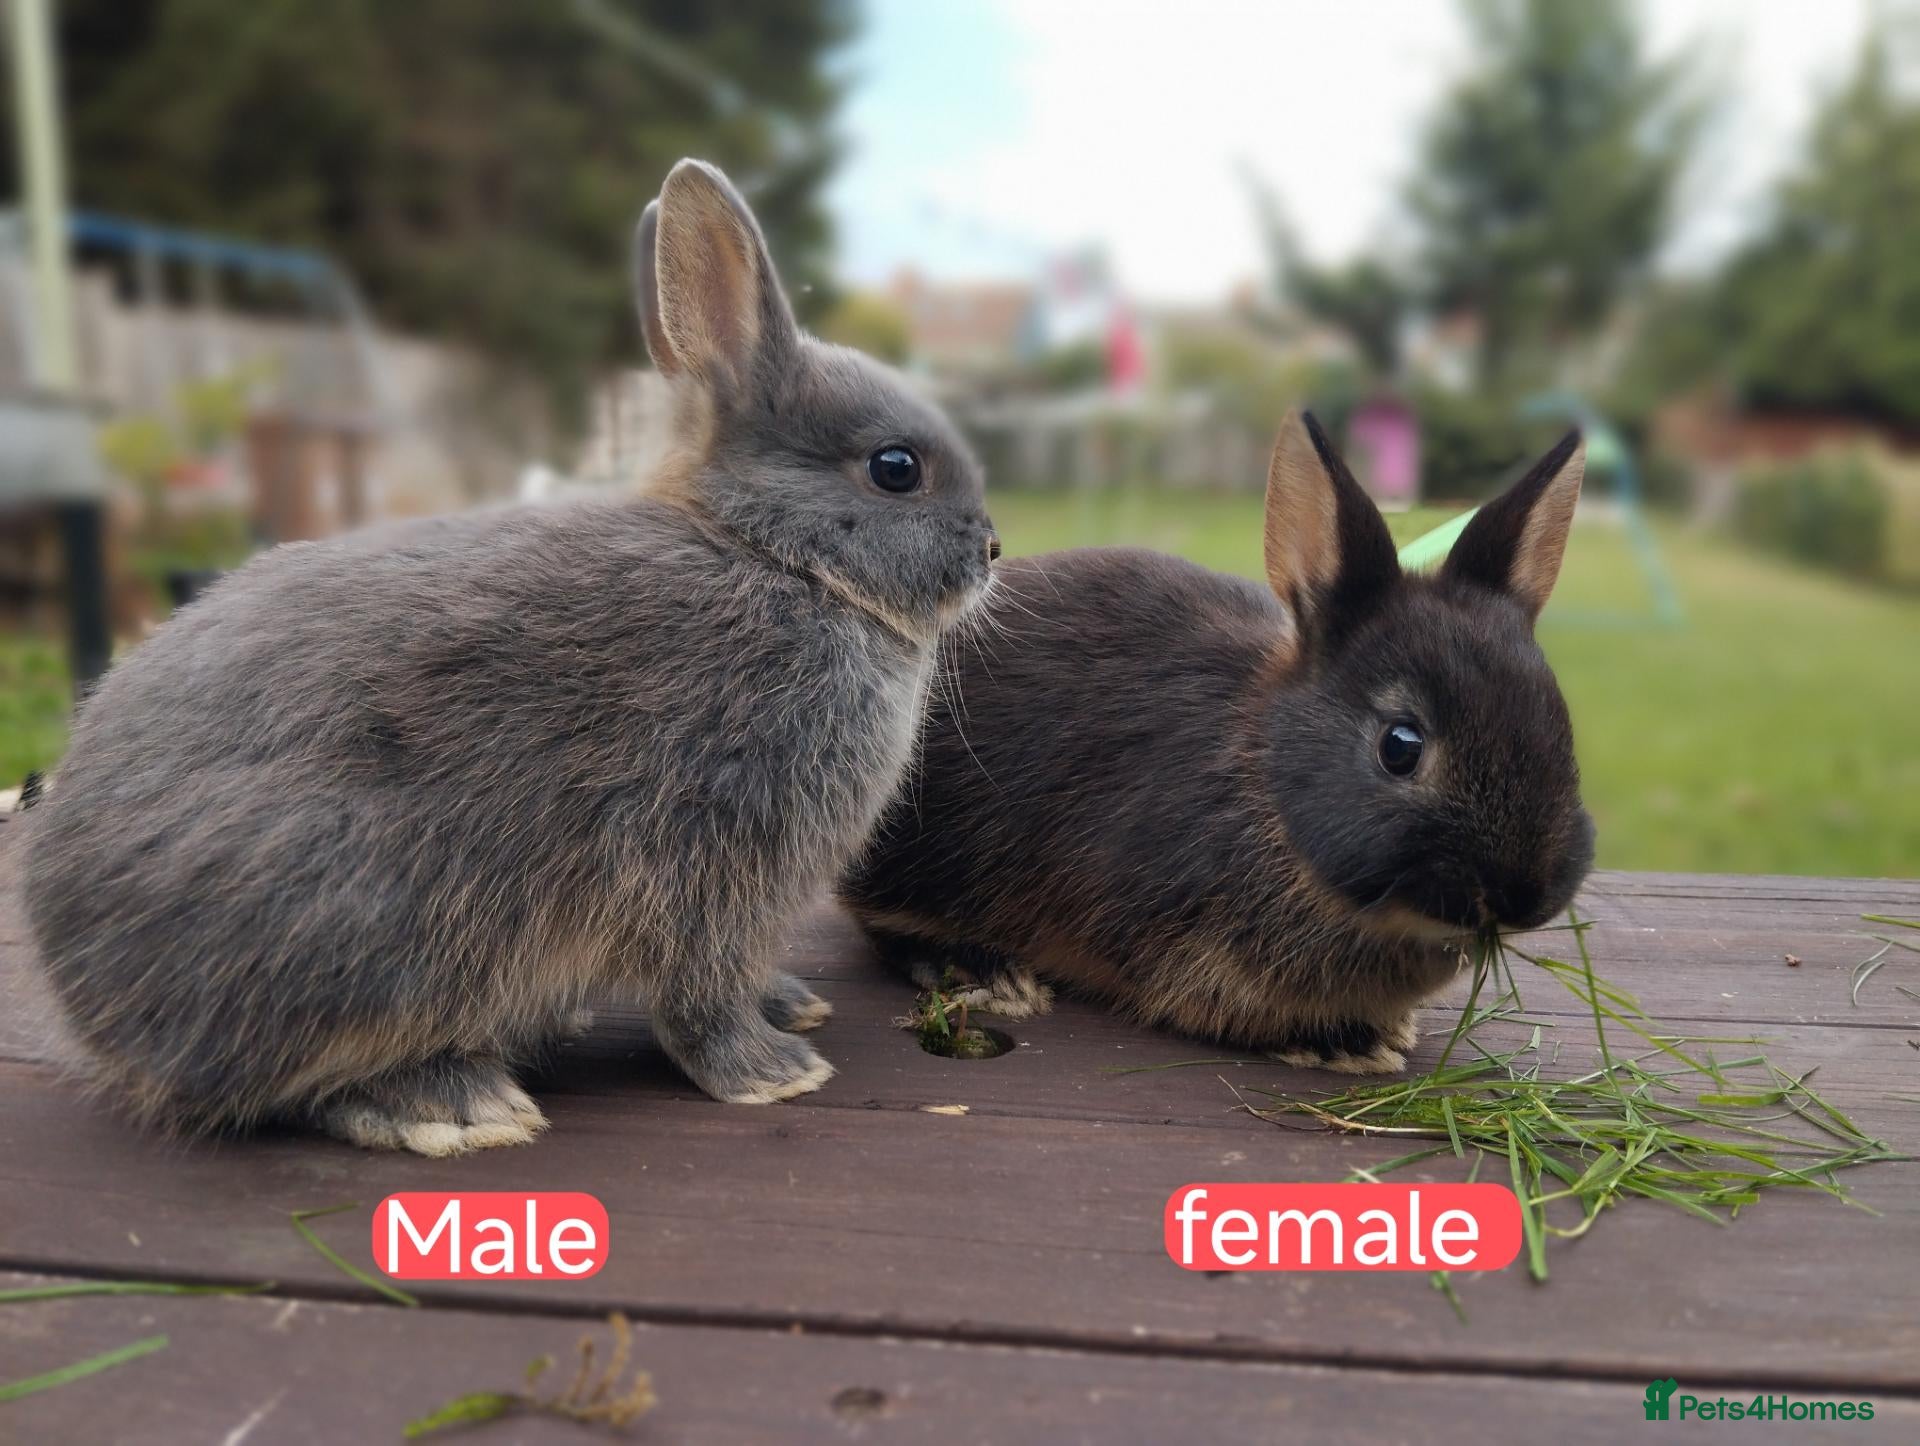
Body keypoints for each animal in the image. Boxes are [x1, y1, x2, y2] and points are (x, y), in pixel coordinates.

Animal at [22, 159, 998, 1154]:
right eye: (894, 469)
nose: (993, 550)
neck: (780, 559)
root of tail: (94, 1013)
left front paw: (792, 1005)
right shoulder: (711, 860)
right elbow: (700, 996)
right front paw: (773, 1073)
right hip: (362, 925)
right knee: (296, 1084)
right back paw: (453, 1103)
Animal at [840, 411, 1593, 1073]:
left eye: (1558, 719)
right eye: (1400, 746)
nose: (1523, 897)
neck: (1267, 783)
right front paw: (1348, 1045)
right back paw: (987, 971)